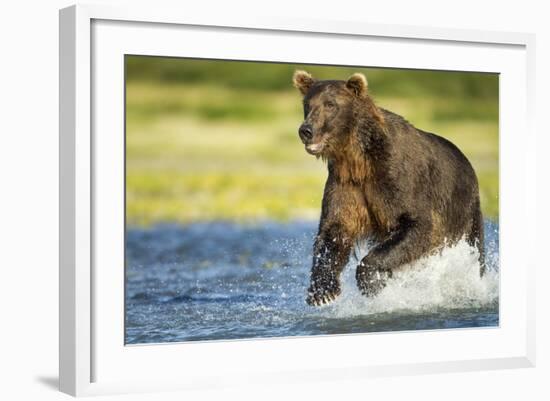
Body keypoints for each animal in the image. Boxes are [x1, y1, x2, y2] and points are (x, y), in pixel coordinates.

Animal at [294, 70, 488, 304]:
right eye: (307, 104)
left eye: (330, 104)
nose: (306, 130)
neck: (357, 158)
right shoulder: (346, 184)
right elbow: (334, 230)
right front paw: (322, 290)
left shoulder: (397, 179)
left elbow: (420, 225)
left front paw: (371, 282)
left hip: (465, 212)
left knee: (475, 250)